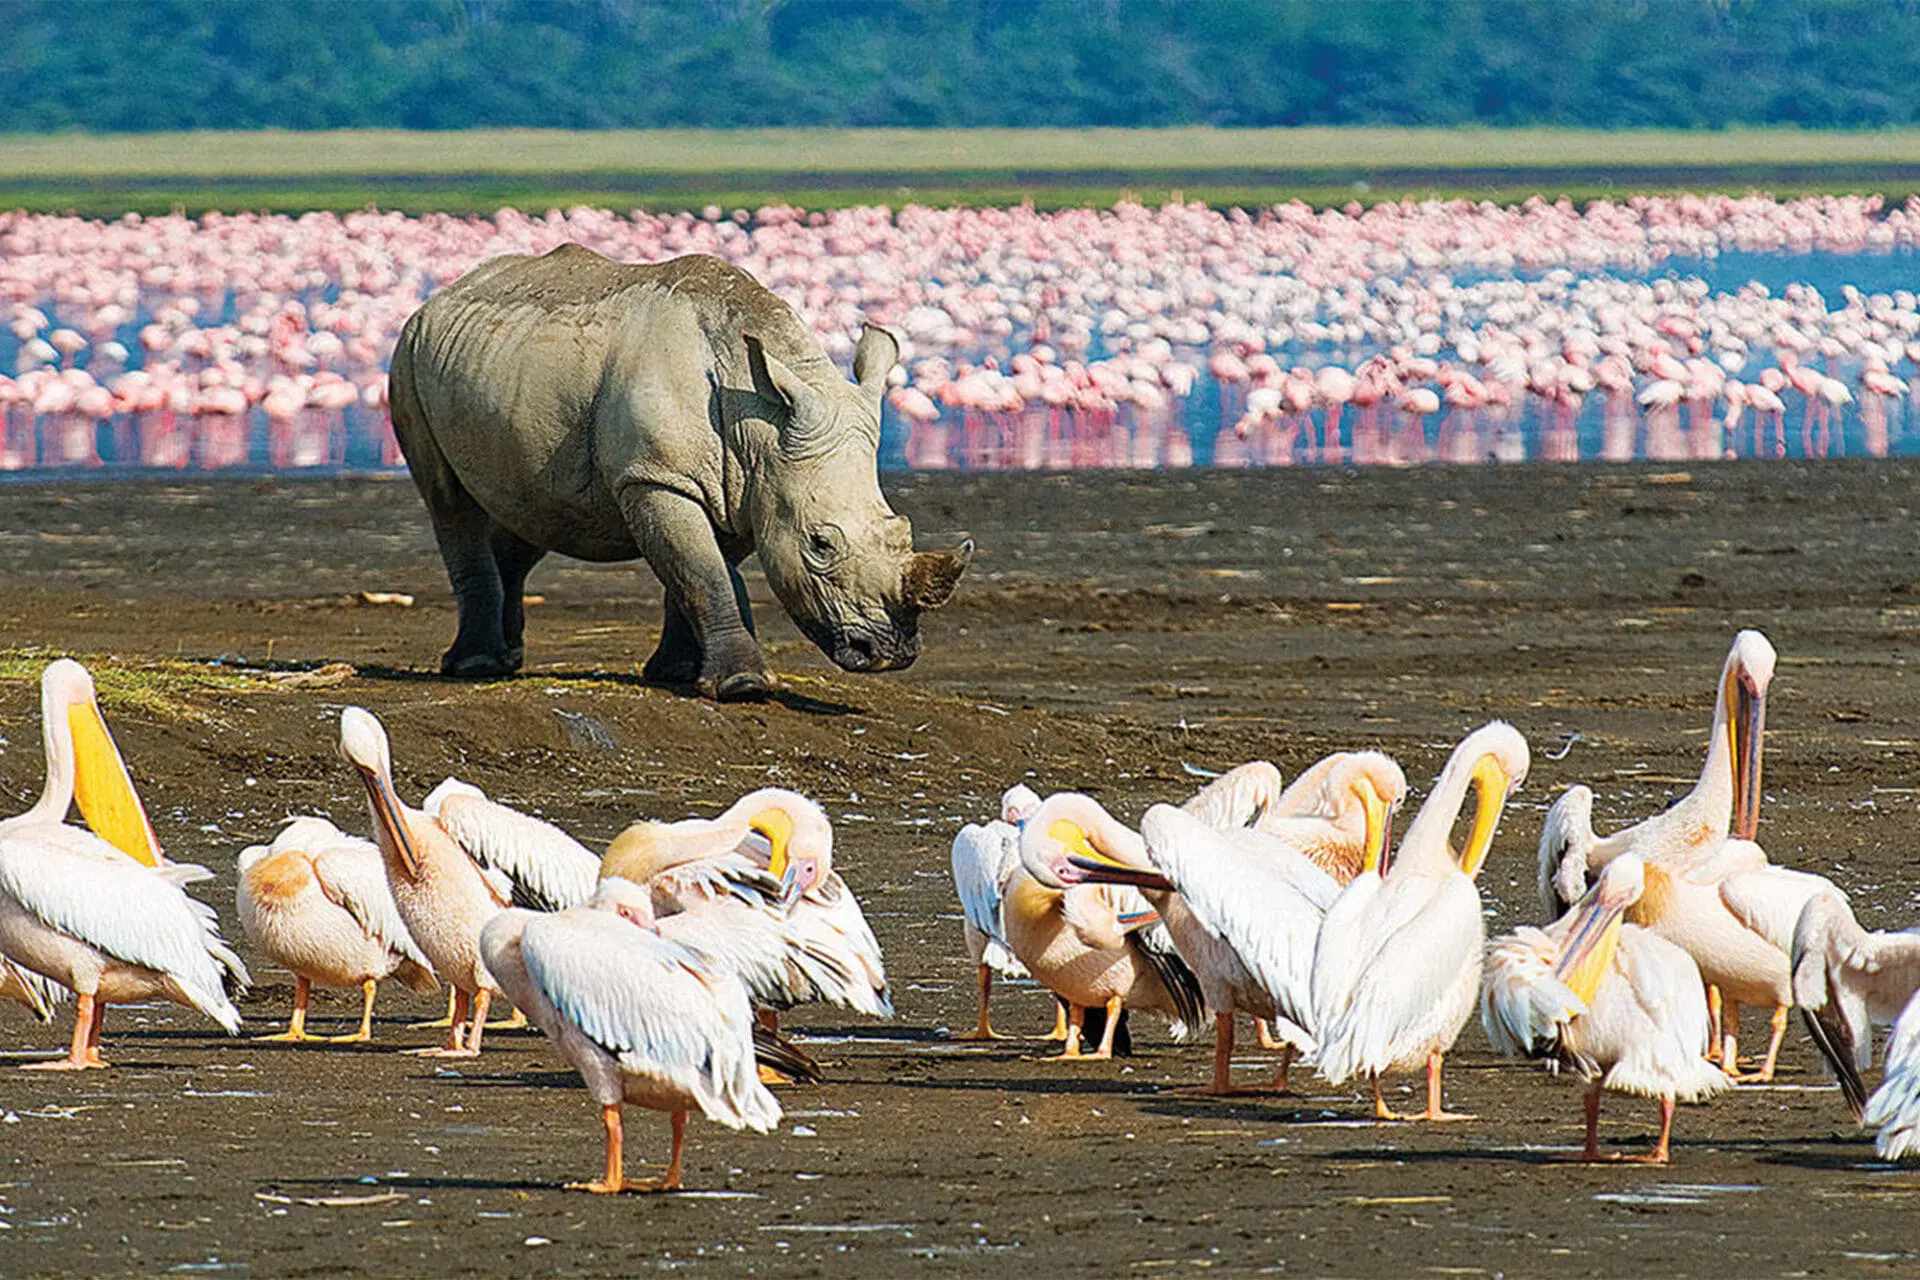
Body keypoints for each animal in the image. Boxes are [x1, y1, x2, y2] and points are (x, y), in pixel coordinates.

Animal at [387, 245, 970, 700]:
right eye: (820, 545)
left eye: (901, 530)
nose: (890, 653)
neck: (759, 422)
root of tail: (443, 294)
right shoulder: (657, 476)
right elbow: (702, 570)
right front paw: (743, 687)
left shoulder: (747, 486)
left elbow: (702, 570)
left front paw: (679, 673)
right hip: (407, 355)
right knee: (450, 502)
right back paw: (475, 667)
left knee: (530, 511)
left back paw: (505, 661)